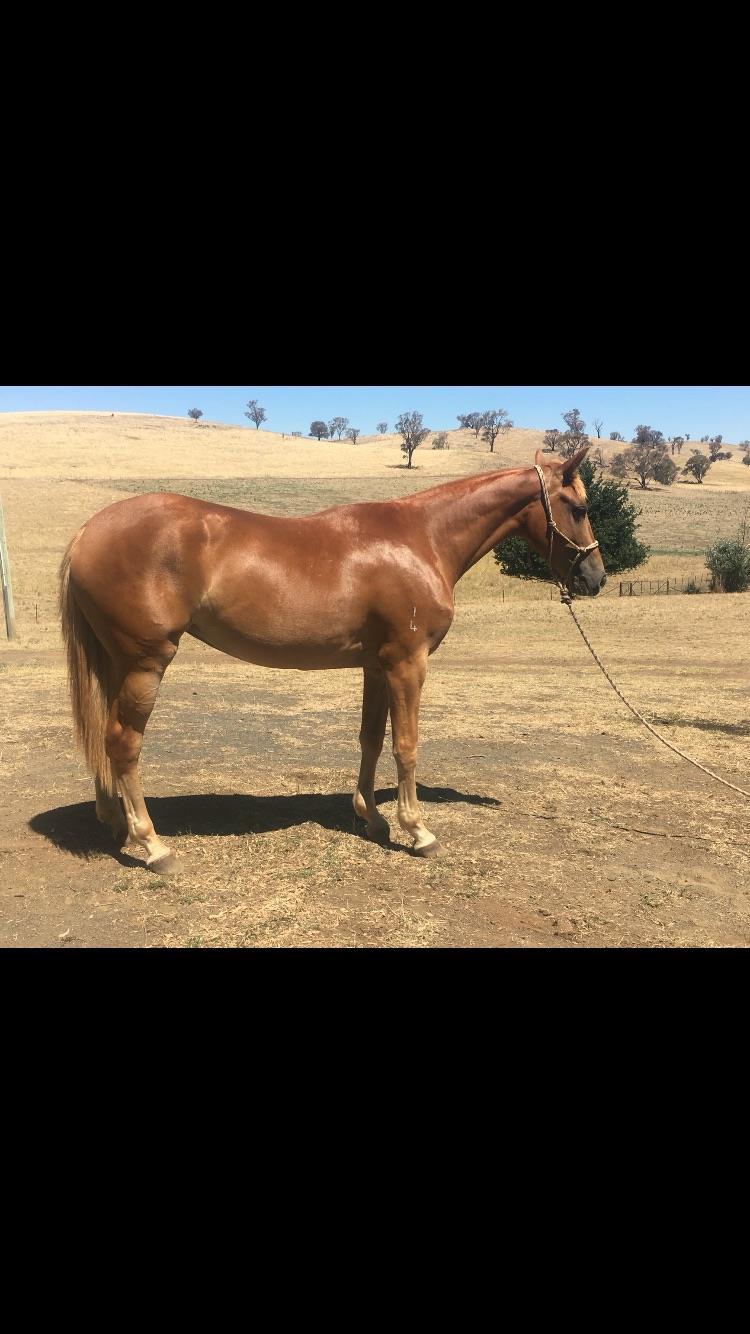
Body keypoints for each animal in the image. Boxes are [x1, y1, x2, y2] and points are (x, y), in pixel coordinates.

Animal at [58, 446, 604, 873]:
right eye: (577, 507)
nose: (595, 577)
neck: (422, 538)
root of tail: (86, 531)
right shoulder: (408, 663)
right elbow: (406, 745)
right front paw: (418, 830)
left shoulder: (377, 666)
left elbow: (371, 739)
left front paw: (373, 817)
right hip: (145, 664)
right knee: (123, 743)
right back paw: (152, 844)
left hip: (116, 664)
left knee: (105, 737)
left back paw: (115, 823)